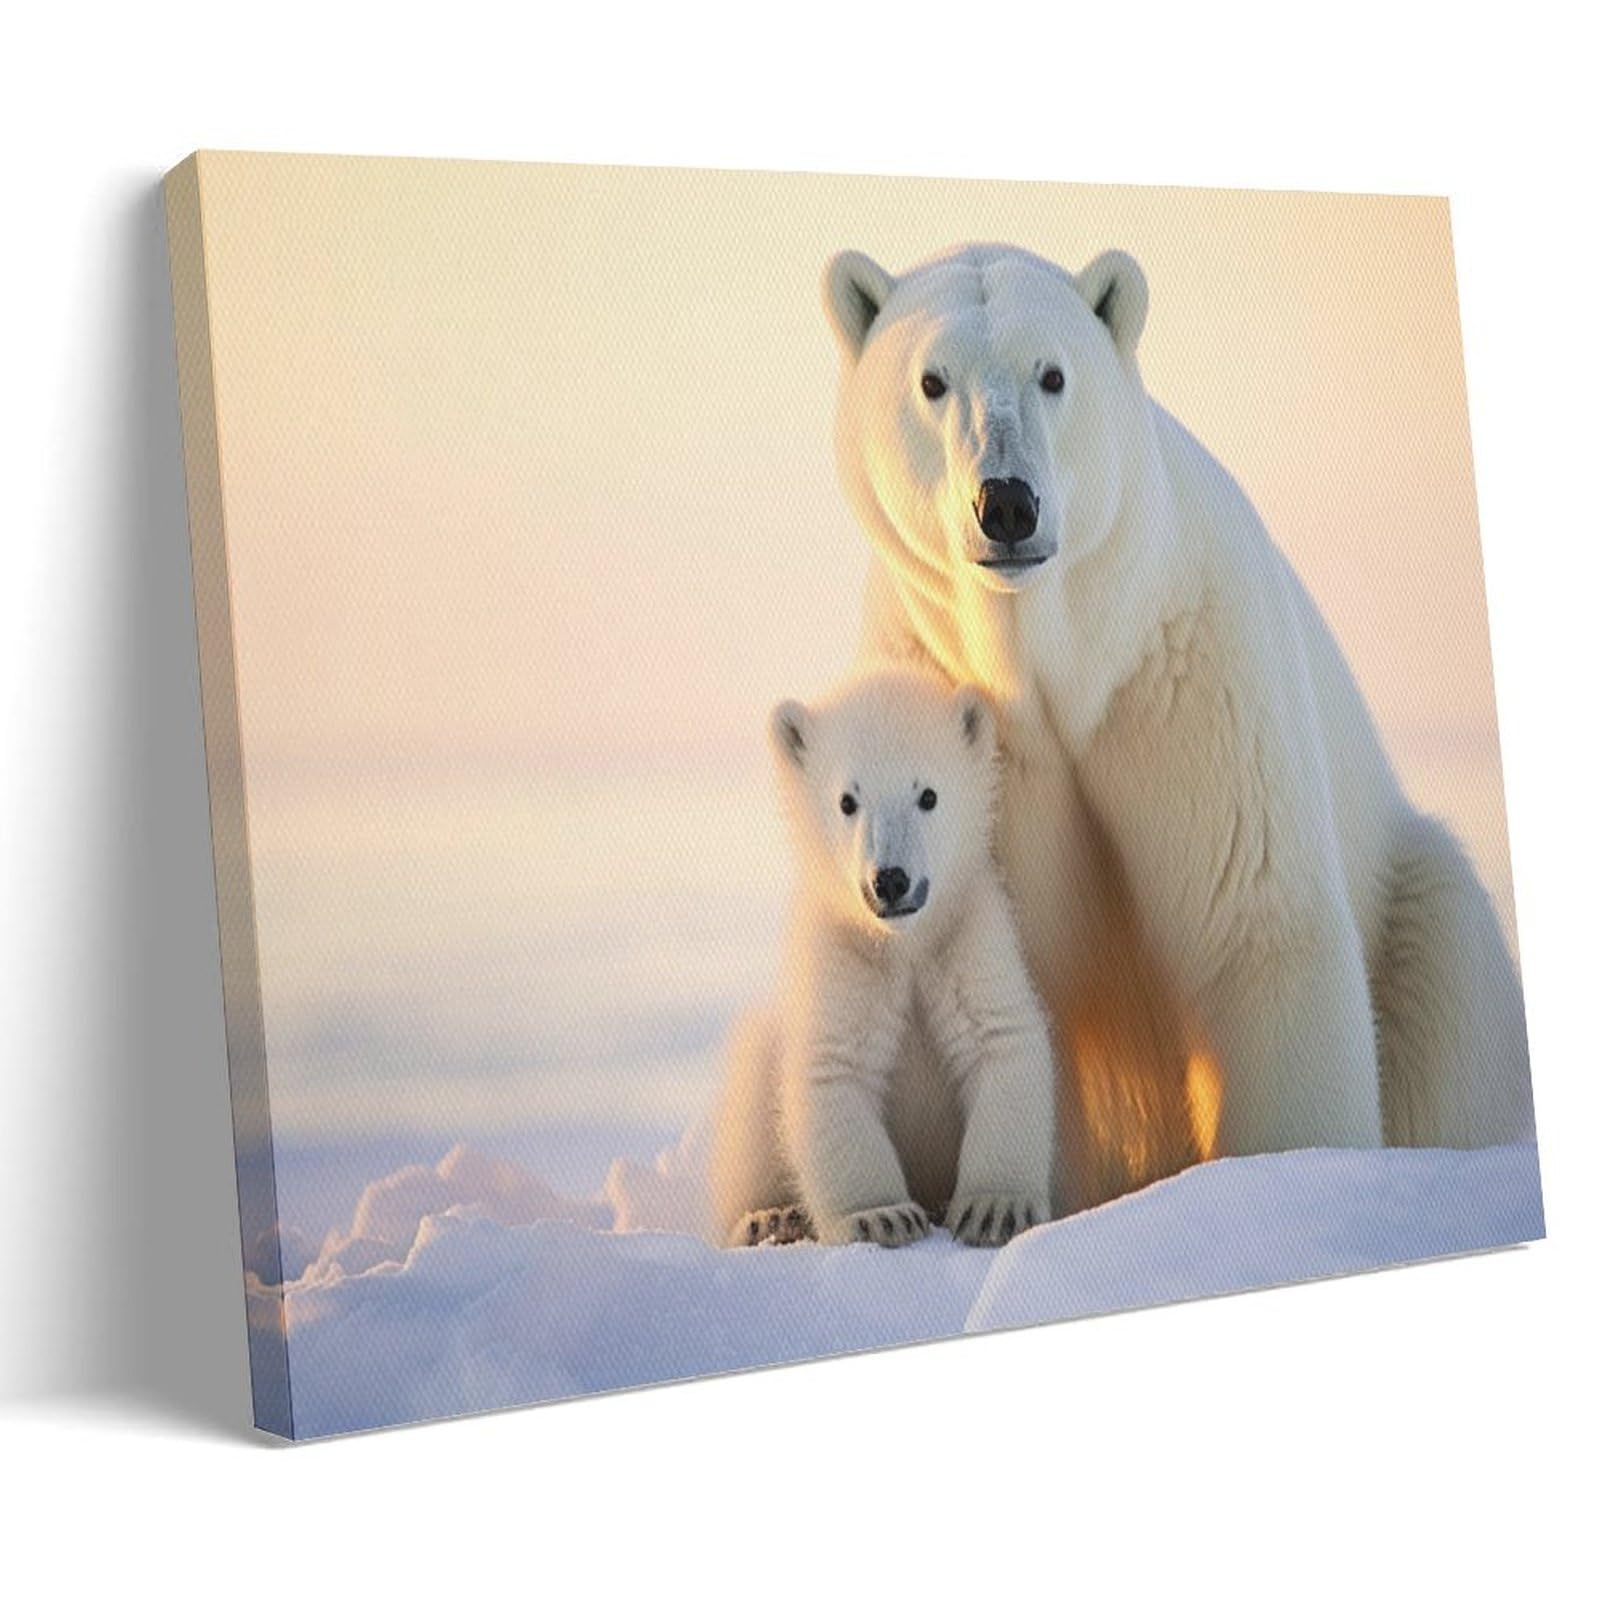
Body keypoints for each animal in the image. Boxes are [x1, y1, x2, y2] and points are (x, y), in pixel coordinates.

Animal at [709, 668, 1056, 1248]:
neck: (904, 943)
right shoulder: (842, 950)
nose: (890, 880)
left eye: (929, 795)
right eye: (847, 801)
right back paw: (769, 1219)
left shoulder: (966, 934)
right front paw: (880, 1216)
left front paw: (994, 1209)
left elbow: (1000, 1039)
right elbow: (833, 1067)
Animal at [822, 242, 1534, 1213]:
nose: (1007, 504)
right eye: (931, 381)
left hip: (1418, 907)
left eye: (1053, 373)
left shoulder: (1190, 673)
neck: (1061, 663)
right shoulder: (955, 725)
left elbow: (1256, 921)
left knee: (1450, 984)